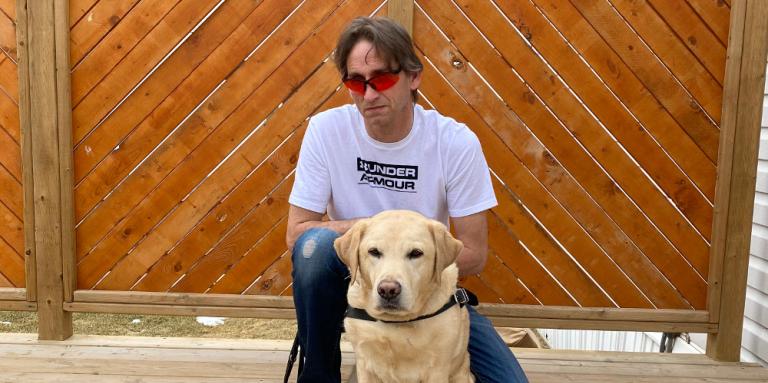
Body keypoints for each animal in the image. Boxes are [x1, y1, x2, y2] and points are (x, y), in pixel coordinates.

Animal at [334, 212, 474, 382]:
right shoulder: (365, 364)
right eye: (374, 252)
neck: (396, 321)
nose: (388, 290)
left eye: (416, 253)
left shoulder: (437, 370)